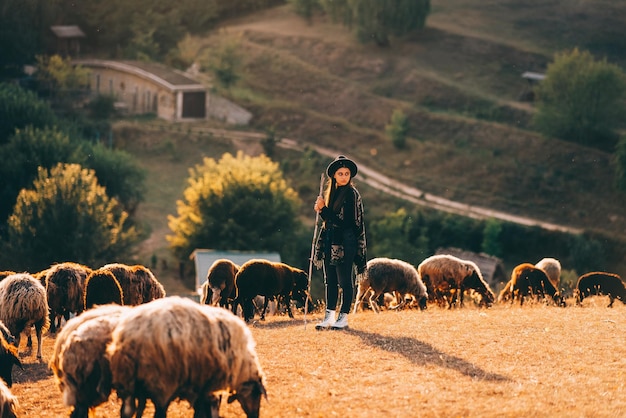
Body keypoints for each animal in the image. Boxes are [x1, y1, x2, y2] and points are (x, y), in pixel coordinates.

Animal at [105, 296, 266, 418]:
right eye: (256, 394)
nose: (255, 416)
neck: (241, 364)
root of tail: (130, 336)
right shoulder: (205, 382)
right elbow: (203, 409)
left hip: (129, 380)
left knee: (126, 411)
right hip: (162, 381)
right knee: (159, 412)